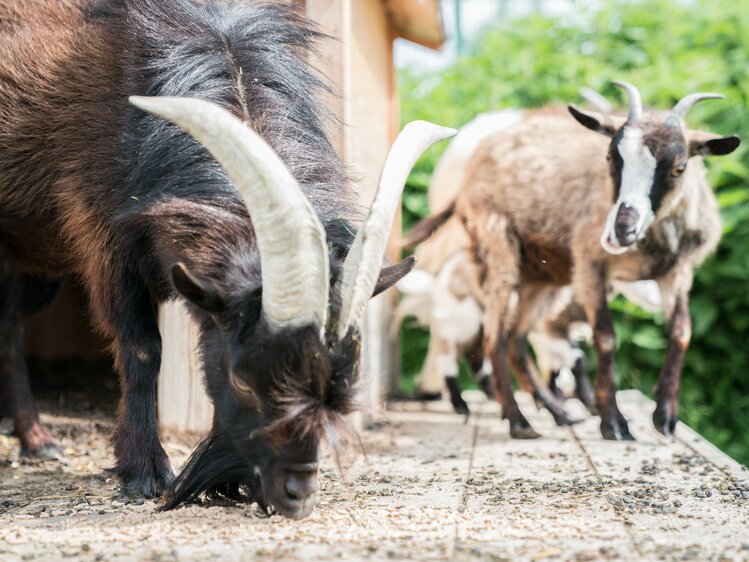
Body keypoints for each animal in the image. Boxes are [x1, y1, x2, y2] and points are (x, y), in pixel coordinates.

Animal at [0, 0, 452, 516]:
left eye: (339, 383)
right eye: (240, 380)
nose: (295, 492)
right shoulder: (106, 239)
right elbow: (142, 348)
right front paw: (144, 473)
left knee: (9, 325)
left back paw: (36, 441)